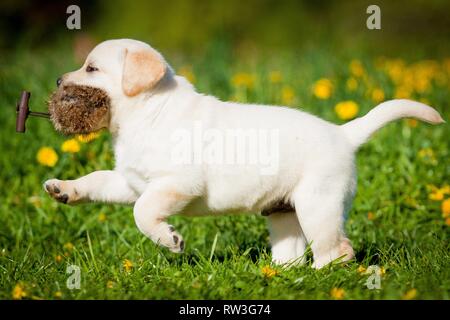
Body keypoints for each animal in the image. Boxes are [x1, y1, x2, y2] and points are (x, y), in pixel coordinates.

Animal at [43, 38, 442, 268]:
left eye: (91, 68)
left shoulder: (176, 183)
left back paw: (321, 278)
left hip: (319, 205)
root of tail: (343, 134)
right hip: (285, 213)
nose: (58, 81)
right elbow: (98, 180)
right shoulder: (131, 181)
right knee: (293, 255)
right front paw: (64, 188)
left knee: (337, 251)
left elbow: (143, 212)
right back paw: (282, 278)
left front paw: (170, 240)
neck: (147, 112)